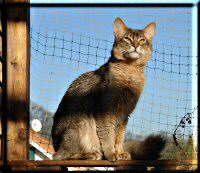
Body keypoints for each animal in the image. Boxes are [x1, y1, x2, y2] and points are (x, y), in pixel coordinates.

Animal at [51, 16, 166, 162]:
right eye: (127, 39)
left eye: (142, 40)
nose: (136, 45)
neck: (130, 71)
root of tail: (55, 144)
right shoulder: (105, 109)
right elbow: (108, 134)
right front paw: (111, 153)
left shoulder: (125, 113)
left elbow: (119, 136)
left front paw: (120, 152)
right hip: (80, 122)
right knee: (60, 155)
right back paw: (91, 153)